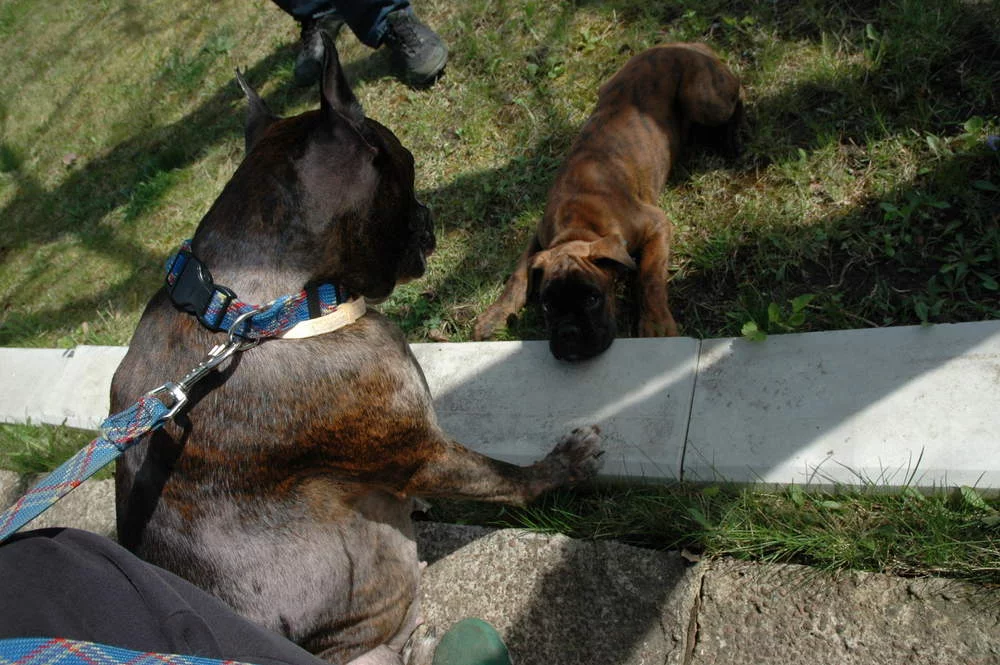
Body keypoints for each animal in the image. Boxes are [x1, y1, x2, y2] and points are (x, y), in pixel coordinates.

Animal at [112, 40, 603, 665]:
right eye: (408, 164)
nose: (428, 214)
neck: (258, 310)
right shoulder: (425, 452)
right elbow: (504, 476)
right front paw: (562, 465)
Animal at [472, 43, 743, 361]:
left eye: (592, 298)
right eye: (548, 305)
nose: (569, 334)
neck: (578, 223)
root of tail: (686, 45)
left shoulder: (657, 225)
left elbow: (649, 277)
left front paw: (656, 325)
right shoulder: (539, 236)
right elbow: (517, 275)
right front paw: (496, 314)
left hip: (703, 98)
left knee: (739, 93)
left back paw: (732, 140)